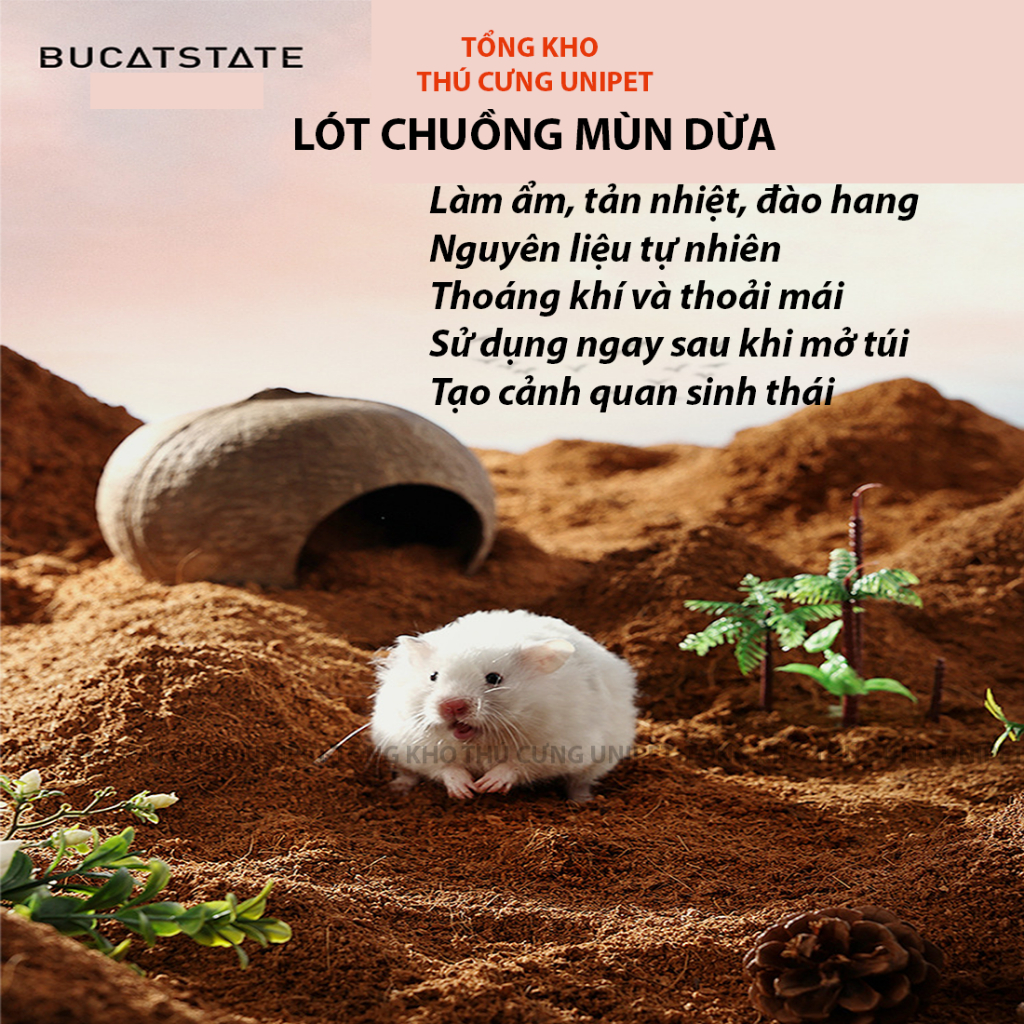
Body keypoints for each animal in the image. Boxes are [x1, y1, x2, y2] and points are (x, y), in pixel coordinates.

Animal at [370, 609, 637, 802]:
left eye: (494, 678)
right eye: (433, 676)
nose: (452, 706)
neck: (481, 741)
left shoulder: (559, 746)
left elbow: (518, 764)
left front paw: (486, 785)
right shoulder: (411, 744)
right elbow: (445, 766)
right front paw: (466, 790)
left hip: (597, 763)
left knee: (579, 782)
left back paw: (581, 801)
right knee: (409, 774)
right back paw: (397, 789)